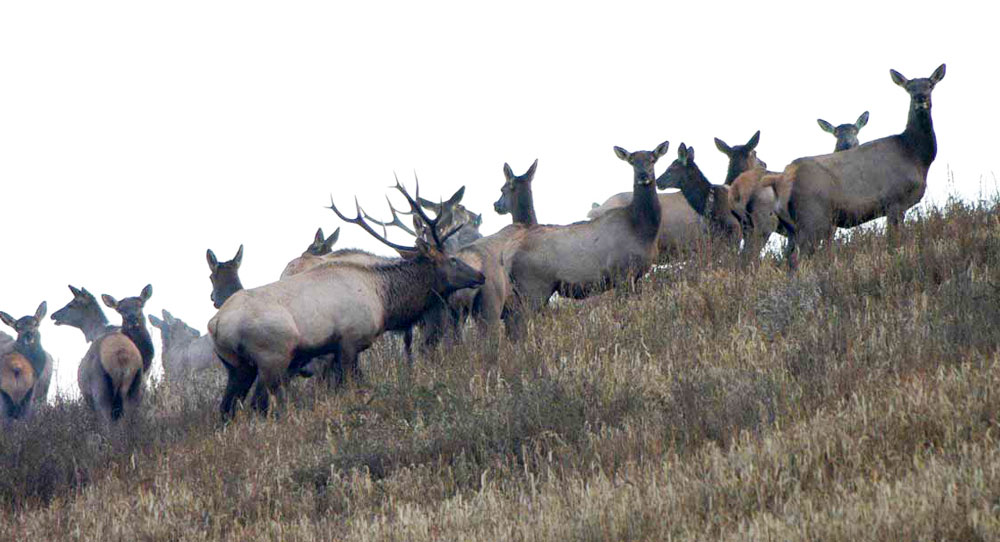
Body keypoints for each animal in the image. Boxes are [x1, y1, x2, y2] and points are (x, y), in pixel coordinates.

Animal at [52, 285, 147, 428]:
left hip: (101, 392)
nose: (53, 315)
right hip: (134, 389)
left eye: (71, 304)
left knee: (107, 424)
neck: (96, 331)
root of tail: (122, 357)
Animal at [208, 180, 485, 417]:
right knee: (258, 404)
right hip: (271, 358)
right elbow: (352, 384)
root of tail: (216, 324)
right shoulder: (349, 341)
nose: (480, 275)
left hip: (236, 366)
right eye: (452, 259)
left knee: (226, 410)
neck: (384, 301)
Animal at [508, 141, 669, 325]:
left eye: (652, 159)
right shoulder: (621, 271)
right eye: (632, 161)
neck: (642, 231)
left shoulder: (637, 275)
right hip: (533, 287)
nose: (643, 175)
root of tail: (510, 259)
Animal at [781, 64, 946, 267]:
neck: (916, 156)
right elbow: (894, 243)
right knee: (798, 257)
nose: (920, 97)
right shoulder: (895, 200)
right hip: (812, 215)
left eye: (930, 85)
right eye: (909, 88)